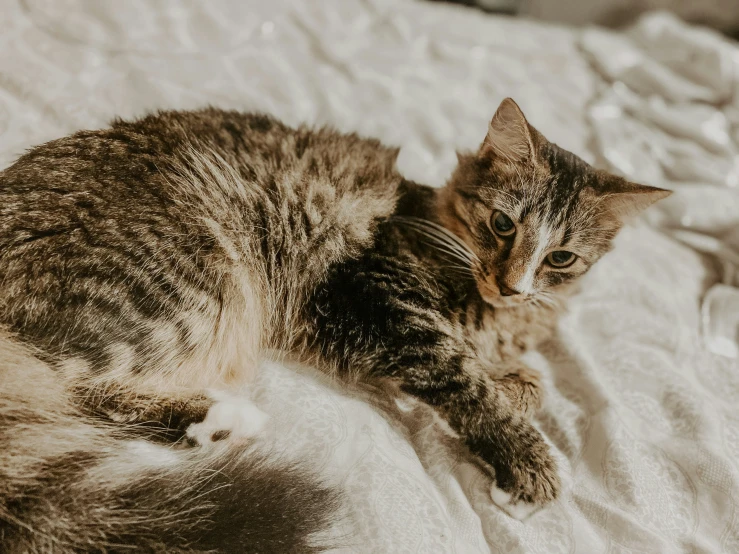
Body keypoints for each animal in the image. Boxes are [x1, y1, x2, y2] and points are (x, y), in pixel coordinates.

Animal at [0, 97, 672, 548]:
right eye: (503, 225)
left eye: (561, 258)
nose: (512, 283)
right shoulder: (378, 294)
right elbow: (465, 377)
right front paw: (527, 463)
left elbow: (524, 381)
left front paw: (515, 386)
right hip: (192, 280)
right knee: (72, 393)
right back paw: (221, 418)